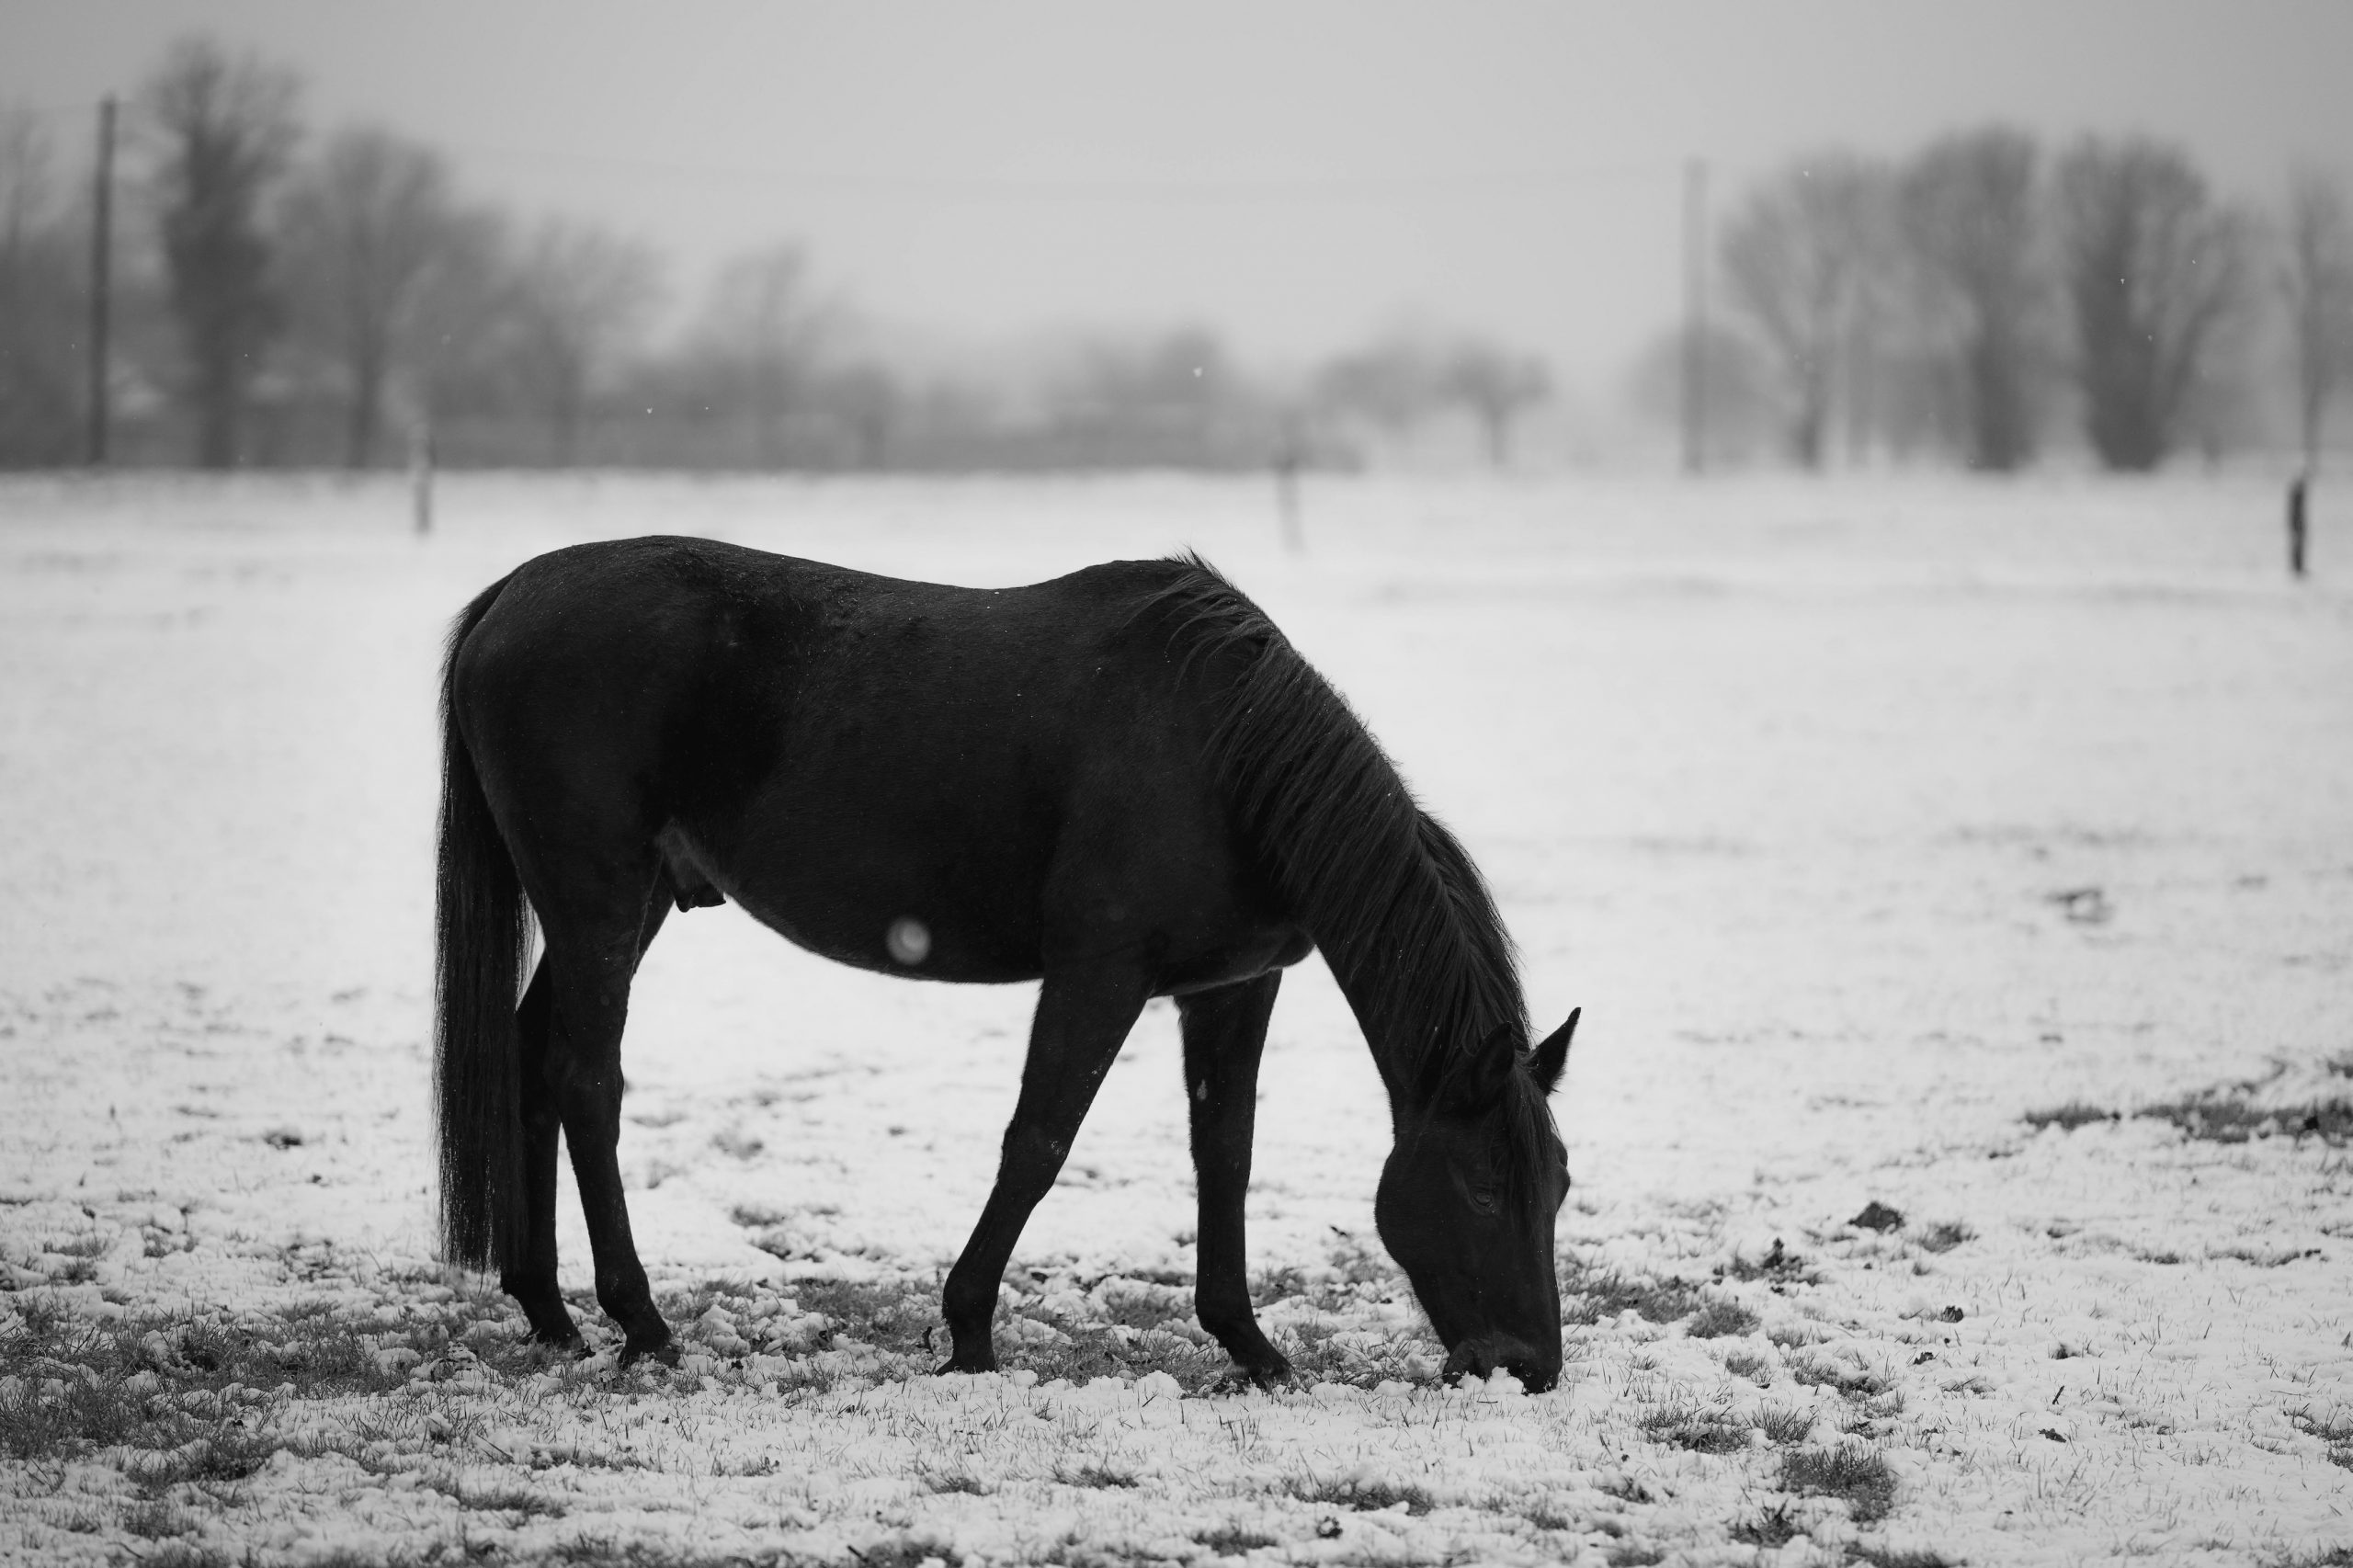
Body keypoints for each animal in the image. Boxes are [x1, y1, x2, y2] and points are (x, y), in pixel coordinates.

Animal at [442, 534, 1581, 1384]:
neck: (1223, 758)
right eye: (1483, 1187)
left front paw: (1248, 1344)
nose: (1527, 1365)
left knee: (532, 1055)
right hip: (596, 898)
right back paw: (640, 1320)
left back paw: (549, 1312)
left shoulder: (1231, 988)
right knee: (586, 1079)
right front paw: (970, 1331)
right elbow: (1038, 1141)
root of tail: (512, 595)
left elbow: (1226, 1155)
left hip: (626, 905)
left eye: (1559, 1182)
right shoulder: (1099, 971)